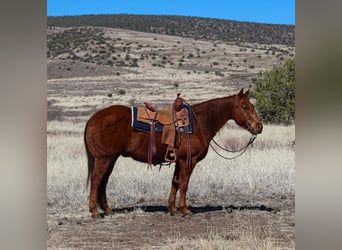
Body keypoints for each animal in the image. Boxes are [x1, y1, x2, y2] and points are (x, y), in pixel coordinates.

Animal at [85, 89, 262, 218]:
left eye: (252, 106)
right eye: (244, 107)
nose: (259, 126)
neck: (199, 122)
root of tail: (93, 118)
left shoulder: (179, 160)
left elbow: (175, 182)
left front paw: (172, 208)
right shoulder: (188, 160)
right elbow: (184, 183)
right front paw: (184, 209)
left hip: (111, 159)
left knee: (103, 182)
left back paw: (107, 210)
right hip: (104, 159)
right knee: (96, 180)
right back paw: (94, 211)